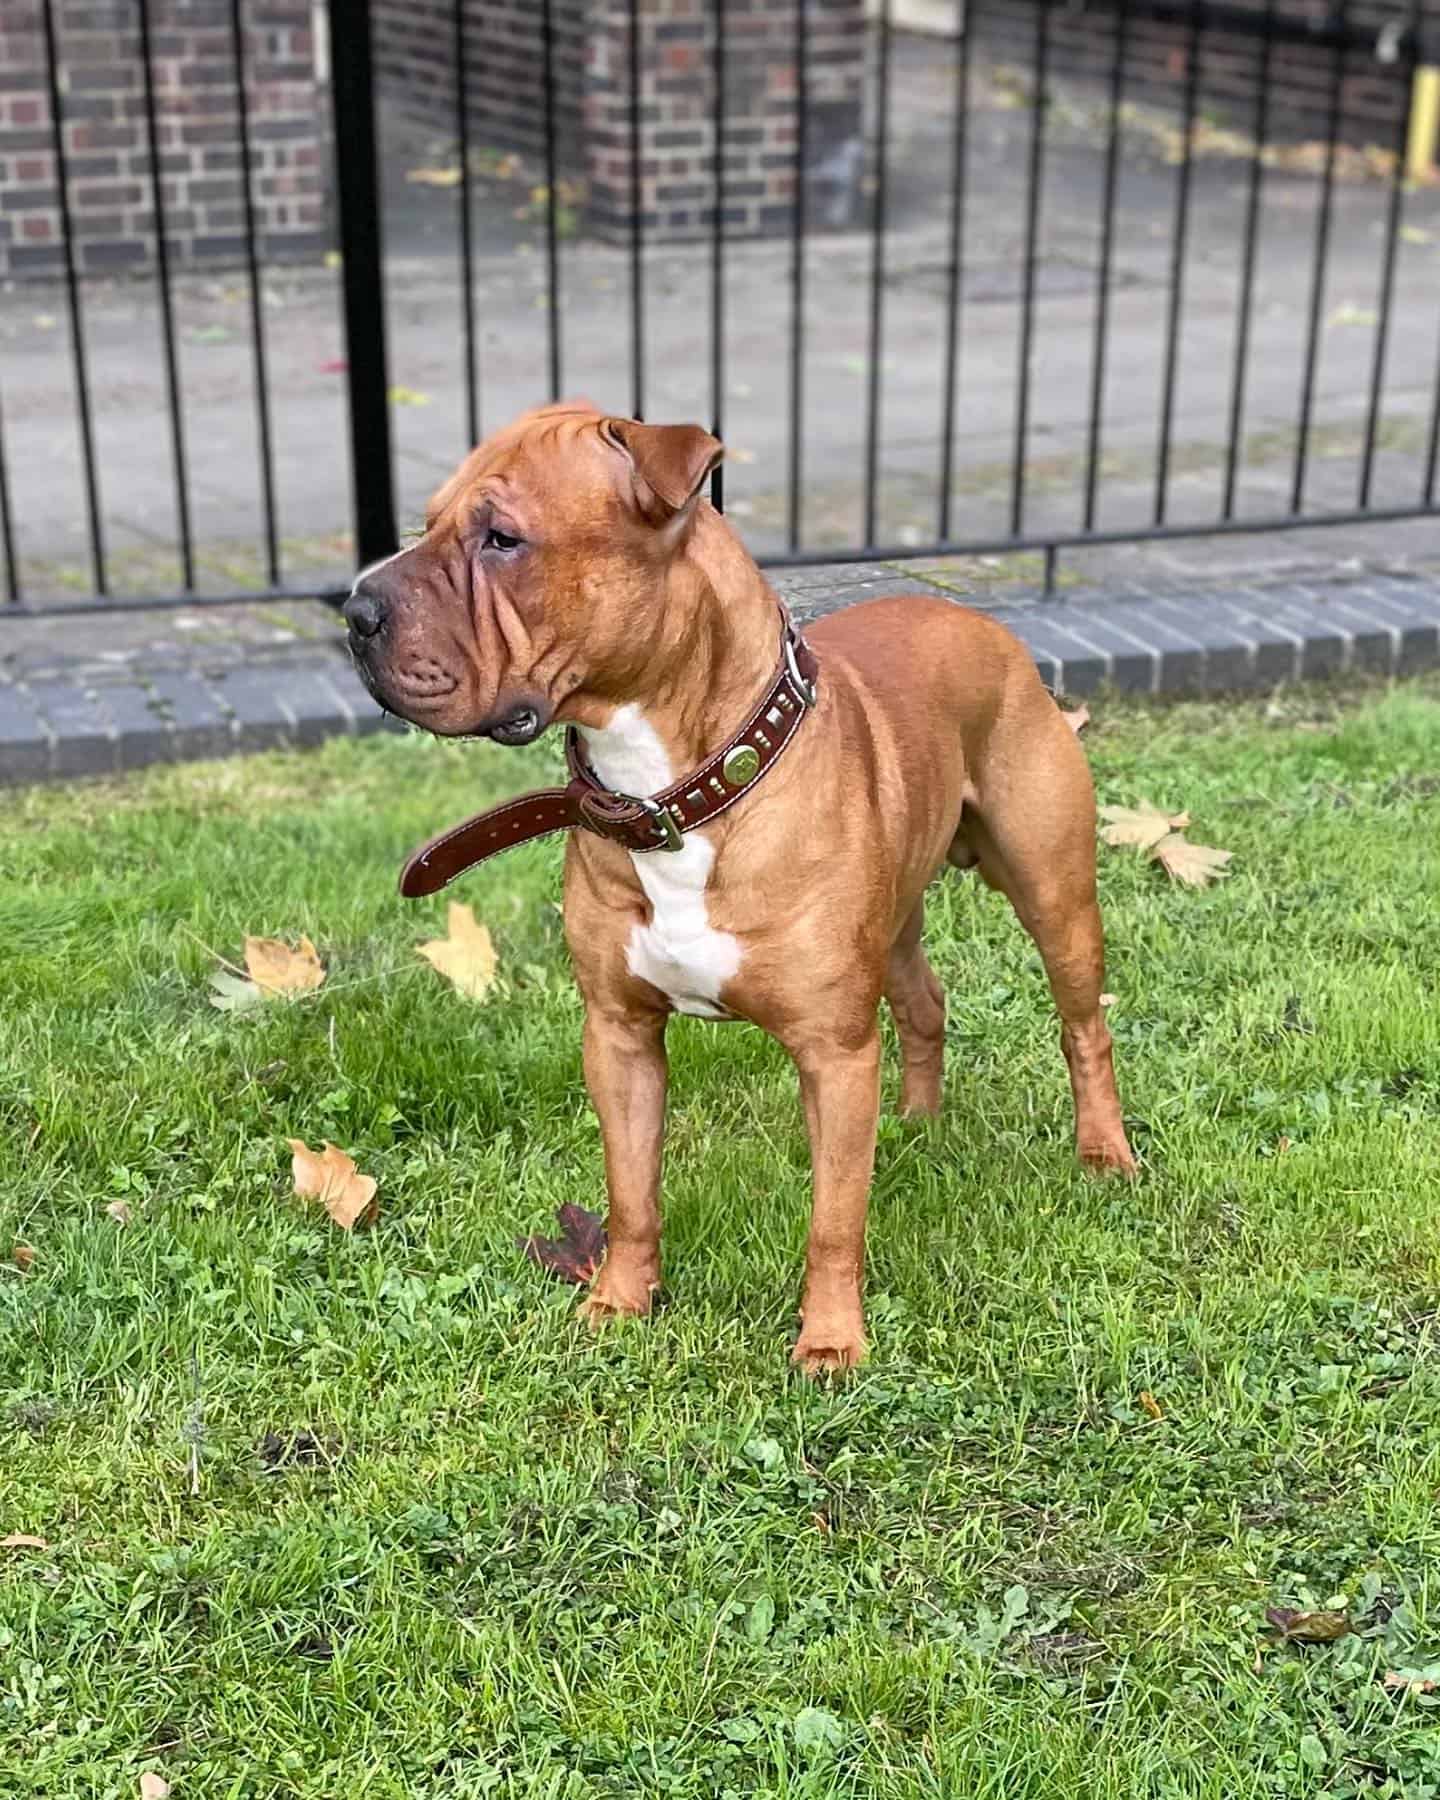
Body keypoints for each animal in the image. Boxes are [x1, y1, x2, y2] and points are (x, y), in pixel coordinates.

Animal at [343, 401, 1130, 1368]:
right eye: (428, 524)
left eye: (502, 539)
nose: (354, 610)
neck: (678, 791)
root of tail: (981, 623)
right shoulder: (619, 1035)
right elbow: (631, 1193)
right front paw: (620, 1302)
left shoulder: (835, 1053)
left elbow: (834, 1218)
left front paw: (830, 1343)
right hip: (897, 922)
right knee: (923, 1002)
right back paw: (917, 1124)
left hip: (1056, 899)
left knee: (1083, 1027)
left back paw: (1104, 1154)